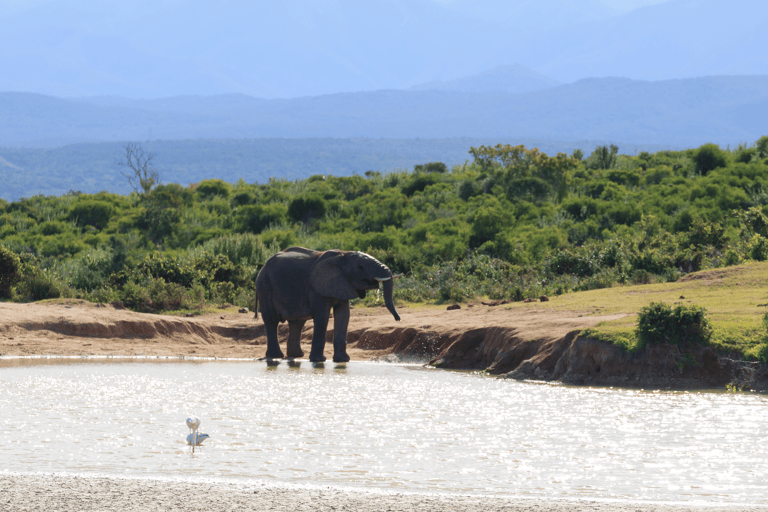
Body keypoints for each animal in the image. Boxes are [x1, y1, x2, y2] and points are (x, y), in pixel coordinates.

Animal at [254, 246, 401, 362]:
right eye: (360, 267)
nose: (398, 319)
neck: (343, 255)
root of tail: (261, 268)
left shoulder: (343, 284)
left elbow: (344, 315)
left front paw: (343, 360)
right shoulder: (316, 288)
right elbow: (323, 316)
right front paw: (319, 361)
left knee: (297, 323)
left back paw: (297, 355)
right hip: (264, 287)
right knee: (272, 320)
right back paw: (276, 356)